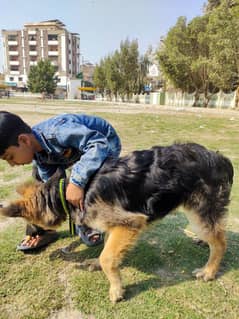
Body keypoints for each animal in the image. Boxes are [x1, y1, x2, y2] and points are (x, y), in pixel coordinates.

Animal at [0, 144, 234, 304]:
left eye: (30, 223)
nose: (31, 237)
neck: (63, 194)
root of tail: (219, 158)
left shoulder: (130, 223)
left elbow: (107, 257)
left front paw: (116, 289)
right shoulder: (114, 227)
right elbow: (106, 250)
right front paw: (96, 263)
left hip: (199, 213)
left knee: (221, 242)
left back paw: (209, 271)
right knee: (216, 233)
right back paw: (203, 243)